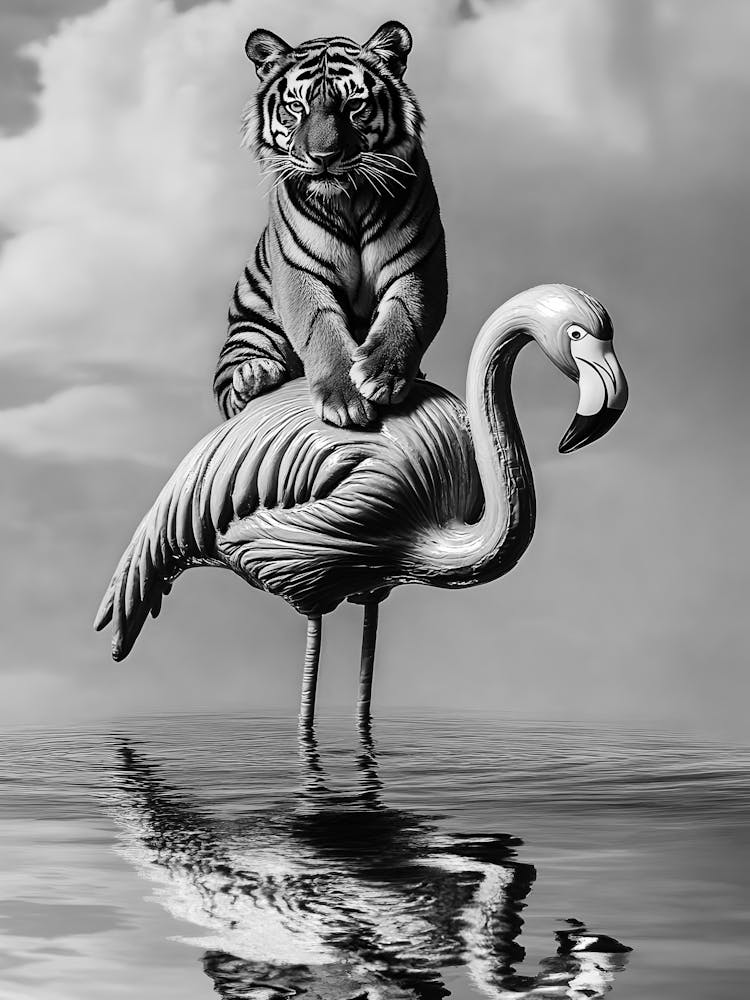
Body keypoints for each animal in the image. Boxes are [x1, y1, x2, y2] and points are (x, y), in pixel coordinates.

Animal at [213, 20, 448, 428]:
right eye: (296, 107)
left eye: (353, 105)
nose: (323, 157)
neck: (349, 199)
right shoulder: (299, 269)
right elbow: (318, 326)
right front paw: (346, 398)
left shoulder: (418, 261)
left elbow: (406, 316)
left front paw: (382, 375)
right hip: (248, 326)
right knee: (231, 386)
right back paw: (254, 377)